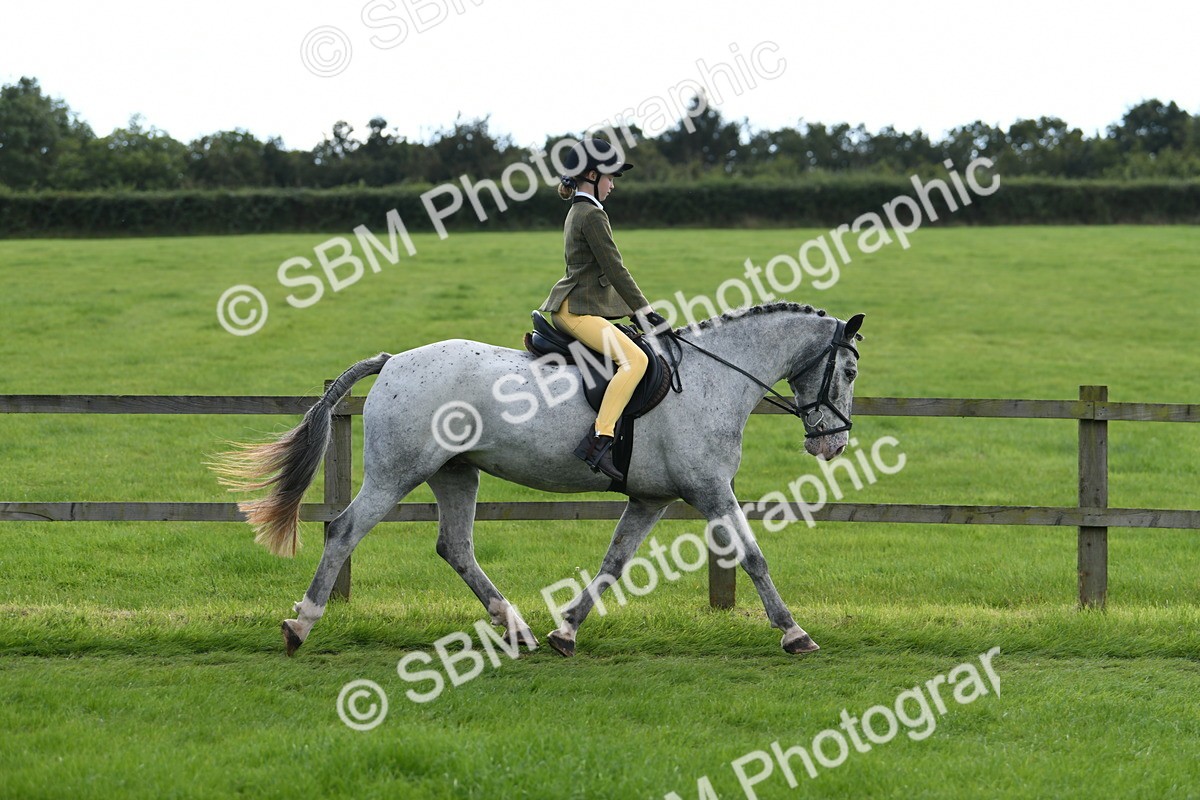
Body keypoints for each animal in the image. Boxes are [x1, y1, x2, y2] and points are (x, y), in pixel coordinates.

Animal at [212, 302, 863, 657]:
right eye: (851, 369)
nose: (832, 443)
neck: (713, 377)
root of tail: (394, 360)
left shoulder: (650, 498)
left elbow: (613, 562)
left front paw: (566, 631)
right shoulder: (709, 491)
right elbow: (753, 558)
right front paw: (794, 633)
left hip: (455, 474)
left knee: (455, 546)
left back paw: (517, 627)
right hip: (399, 472)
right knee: (345, 531)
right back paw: (300, 624)